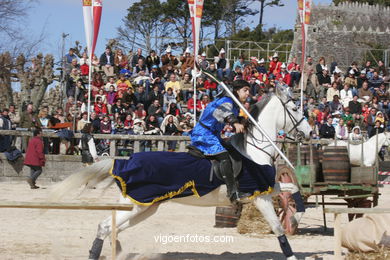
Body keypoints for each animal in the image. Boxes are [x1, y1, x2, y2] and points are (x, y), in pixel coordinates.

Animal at [50, 88, 312, 260]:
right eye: (295, 108)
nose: (310, 133)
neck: (254, 151)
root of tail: (125, 160)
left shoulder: (269, 189)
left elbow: (293, 191)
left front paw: (295, 214)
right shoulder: (261, 197)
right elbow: (278, 230)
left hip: (145, 207)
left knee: (113, 228)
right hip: (135, 205)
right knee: (104, 227)